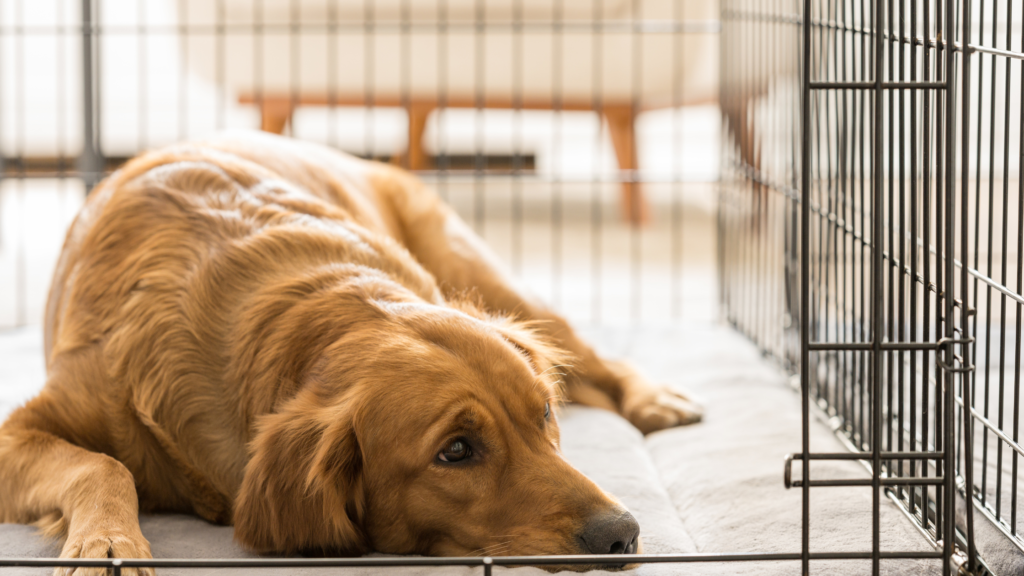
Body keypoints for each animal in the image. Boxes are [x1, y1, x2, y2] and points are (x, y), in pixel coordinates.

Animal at [0, 132, 700, 569]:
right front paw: (108, 543)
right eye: (456, 451)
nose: (623, 534)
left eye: (544, 415)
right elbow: (101, 465)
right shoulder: (18, 433)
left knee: (597, 358)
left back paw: (657, 400)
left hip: (486, 274)